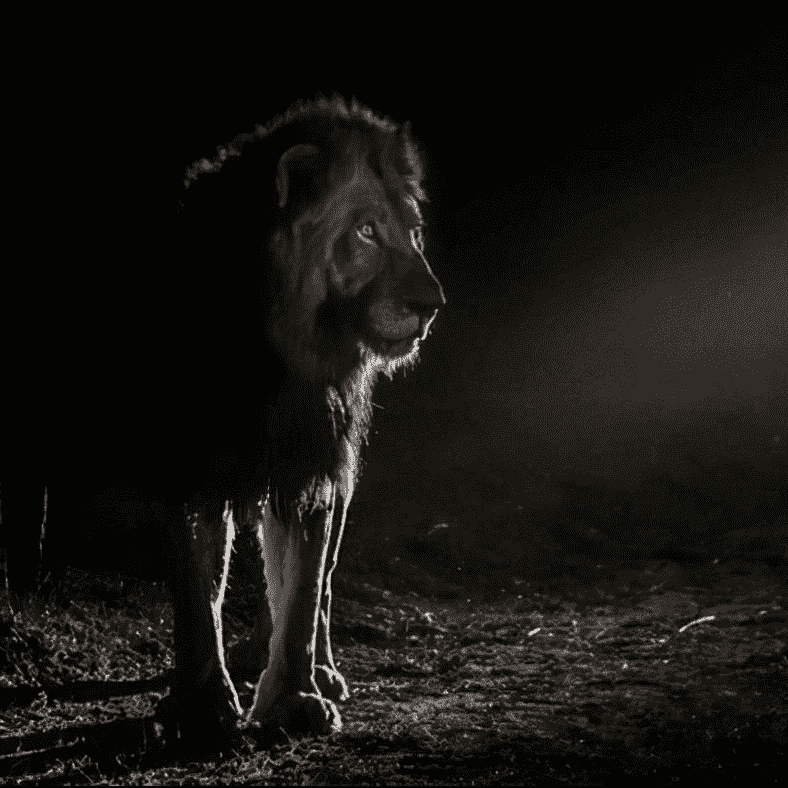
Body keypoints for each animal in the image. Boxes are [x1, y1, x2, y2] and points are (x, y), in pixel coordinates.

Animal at [163, 95, 446, 740]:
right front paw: (203, 708)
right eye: (366, 231)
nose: (433, 305)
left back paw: (319, 671)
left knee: (316, 584)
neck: (278, 355)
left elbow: (302, 591)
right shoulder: (192, 459)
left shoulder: (315, 462)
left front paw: (294, 700)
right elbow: (198, 587)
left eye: (414, 233)